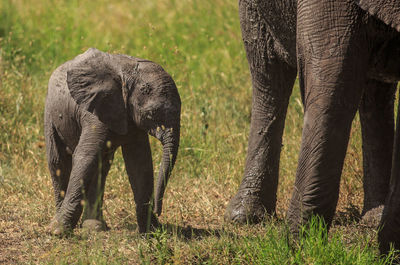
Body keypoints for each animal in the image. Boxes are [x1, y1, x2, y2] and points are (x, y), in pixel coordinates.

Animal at [44, 47, 180, 233]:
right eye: (152, 114)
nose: (158, 210)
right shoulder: (95, 110)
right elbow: (85, 156)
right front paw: (57, 231)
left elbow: (140, 163)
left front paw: (152, 230)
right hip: (50, 112)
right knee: (58, 161)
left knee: (101, 167)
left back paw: (94, 227)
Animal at [225, 0, 400, 248]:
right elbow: (332, 81)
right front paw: (301, 245)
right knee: (267, 73)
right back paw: (245, 216)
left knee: (375, 92)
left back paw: (375, 220)